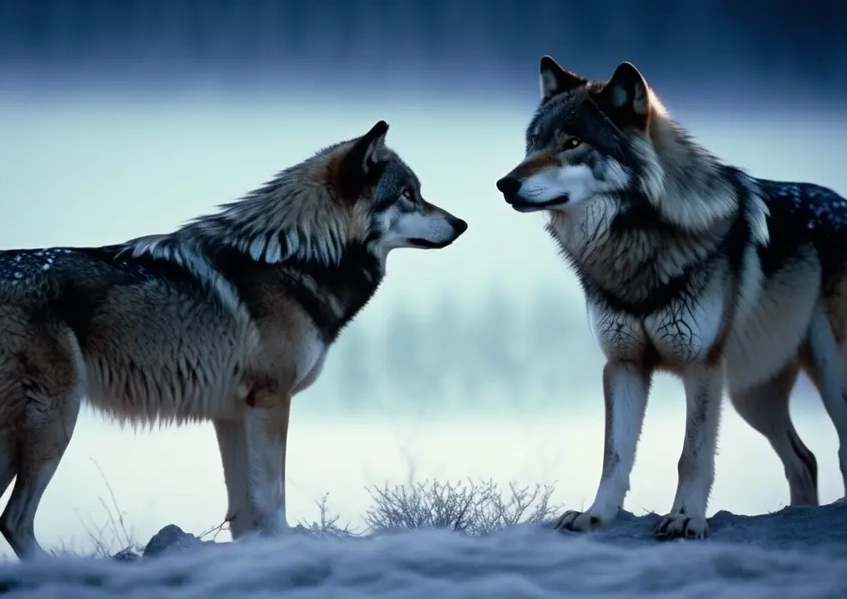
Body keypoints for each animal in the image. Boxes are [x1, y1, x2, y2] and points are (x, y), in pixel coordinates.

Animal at [0, 120, 467, 559]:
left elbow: (243, 511)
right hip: (54, 423)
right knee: (15, 520)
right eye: (407, 192)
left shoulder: (231, 414)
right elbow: (272, 499)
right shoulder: (270, 400)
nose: (461, 223)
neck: (297, 260)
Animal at [495, 56, 847, 539]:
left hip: (826, 376)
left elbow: (692, 456)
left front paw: (685, 518)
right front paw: (595, 515)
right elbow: (614, 454)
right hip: (750, 393)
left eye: (573, 142)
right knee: (805, 460)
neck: (636, 245)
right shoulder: (623, 364)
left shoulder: (701, 367)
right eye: (533, 144)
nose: (504, 184)